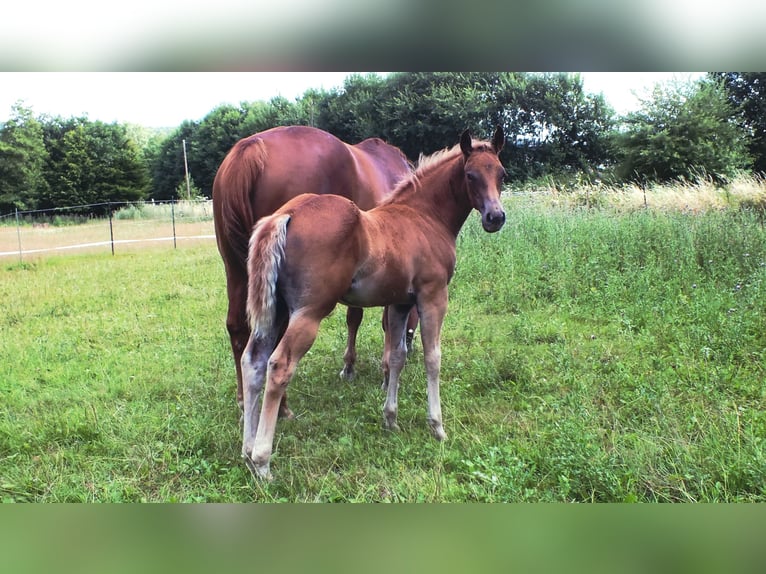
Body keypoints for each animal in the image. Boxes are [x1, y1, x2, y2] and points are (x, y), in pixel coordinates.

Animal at [212, 125, 417, 420]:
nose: (411, 349)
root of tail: (251, 149)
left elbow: (355, 317)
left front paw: (352, 366)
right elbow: (381, 320)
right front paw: (381, 370)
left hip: (238, 269)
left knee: (238, 328)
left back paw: (244, 402)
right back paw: (282, 407)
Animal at [241, 126, 506, 479]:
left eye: (501, 174)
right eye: (470, 175)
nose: (495, 217)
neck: (424, 216)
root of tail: (288, 213)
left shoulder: (400, 304)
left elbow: (397, 356)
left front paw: (390, 419)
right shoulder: (433, 295)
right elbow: (432, 358)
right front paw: (437, 427)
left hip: (276, 310)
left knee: (253, 361)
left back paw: (246, 450)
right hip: (309, 312)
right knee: (279, 365)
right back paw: (262, 461)